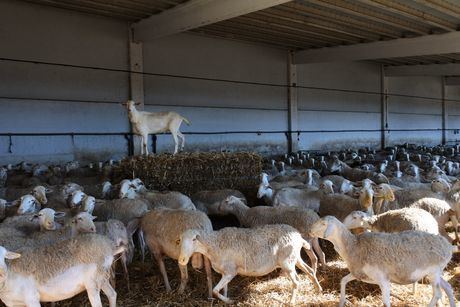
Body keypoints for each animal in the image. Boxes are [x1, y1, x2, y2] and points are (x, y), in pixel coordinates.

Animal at [178, 224, 322, 306]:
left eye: (194, 239)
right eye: (180, 240)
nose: (182, 259)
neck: (214, 244)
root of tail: (298, 236)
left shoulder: (230, 271)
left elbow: (214, 290)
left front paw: (230, 301)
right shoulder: (226, 272)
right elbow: (222, 289)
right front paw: (227, 299)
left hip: (287, 262)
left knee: (296, 281)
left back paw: (291, 302)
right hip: (294, 258)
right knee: (310, 271)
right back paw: (318, 289)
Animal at [310, 217, 454, 307]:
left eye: (323, 224)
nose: (309, 231)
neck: (354, 246)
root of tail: (448, 246)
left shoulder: (383, 279)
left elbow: (385, 302)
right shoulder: (360, 274)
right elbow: (343, 281)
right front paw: (341, 302)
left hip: (434, 272)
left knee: (437, 294)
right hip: (435, 273)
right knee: (448, 287)